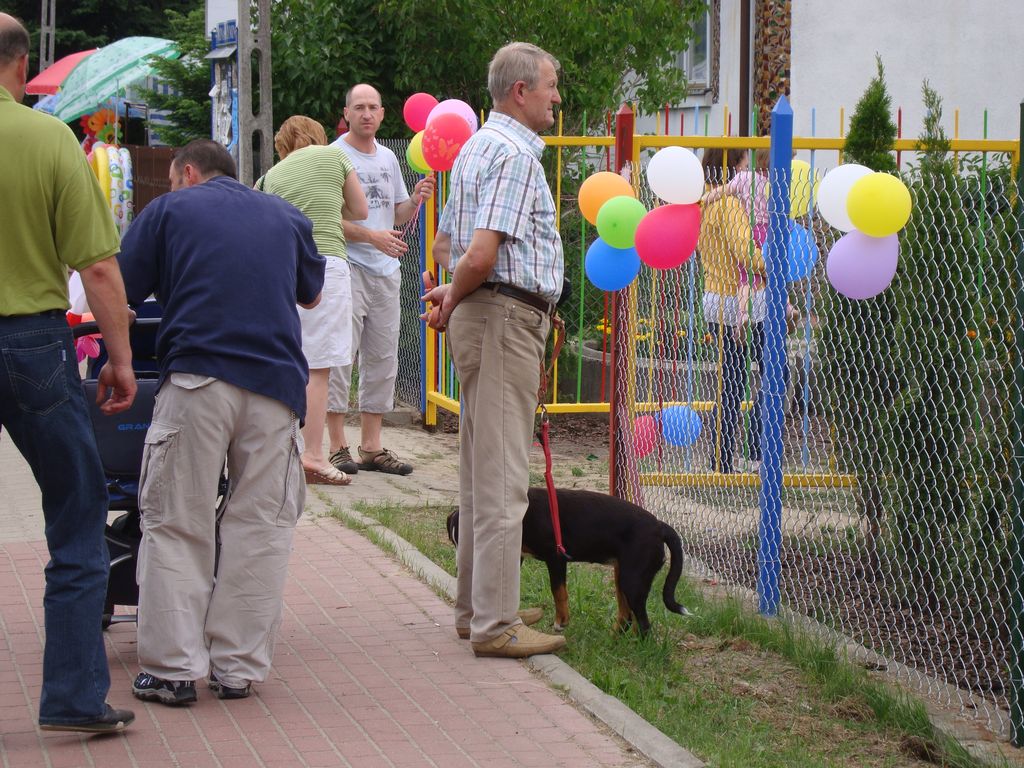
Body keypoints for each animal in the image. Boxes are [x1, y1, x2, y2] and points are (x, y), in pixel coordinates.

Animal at [446, 487, 692, 634]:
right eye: (454, 541)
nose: (459, 568)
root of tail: (660, 525)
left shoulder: (556, 557)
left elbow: (559, 592)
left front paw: (561, 622)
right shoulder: (517, 557)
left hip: (633, 580)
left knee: (643, 623)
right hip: (622, 576)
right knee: (626, 615)